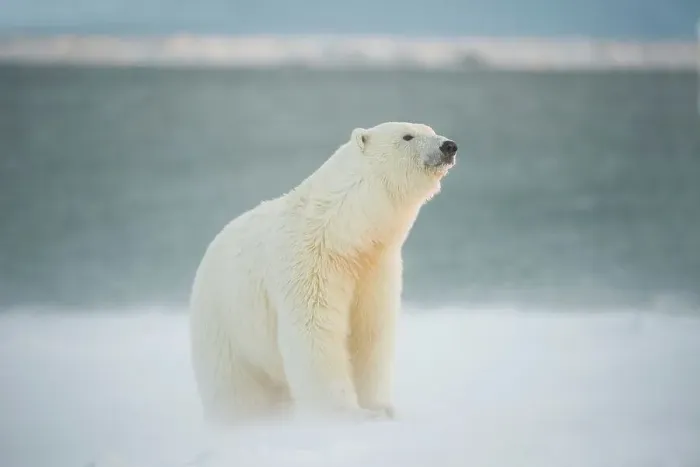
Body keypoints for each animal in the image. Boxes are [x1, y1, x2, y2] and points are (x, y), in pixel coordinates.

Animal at [188, 121, 457, 424]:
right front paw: (344, 414)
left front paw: (381, 408)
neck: (340, 233)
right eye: (408, 136)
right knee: (237, 391)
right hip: (226, 330)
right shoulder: (309, 265)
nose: (449, 146)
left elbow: (371, 333)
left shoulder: (375, 270)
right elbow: (315, 333)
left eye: (431, 130)